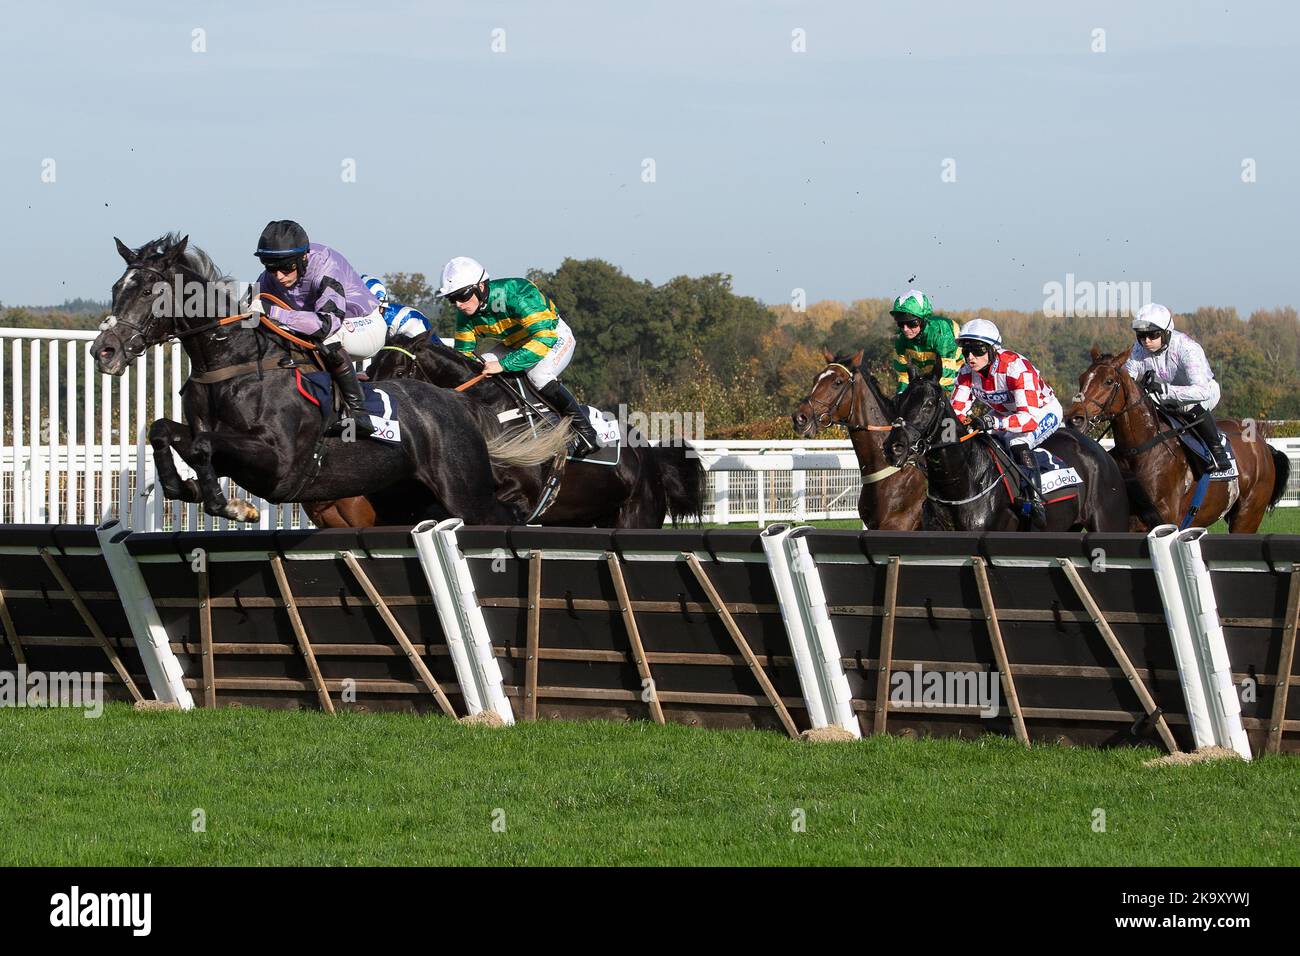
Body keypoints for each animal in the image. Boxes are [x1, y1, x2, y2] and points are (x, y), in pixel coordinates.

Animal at [86, 236, 564, 528]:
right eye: (115, 287)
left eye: (148, 291)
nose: (103, 351)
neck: (231, 365)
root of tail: (458, 403)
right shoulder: (226, 448)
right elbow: (164, 431)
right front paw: (181, 486)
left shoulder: (279, 463)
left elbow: (204, 447)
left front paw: (234, 506)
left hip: (465, 491)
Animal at [306, 332, 702, 530]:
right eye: (371, 369)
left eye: (401, 372)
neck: (489, 412)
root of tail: (649, 457)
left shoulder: (522, 496)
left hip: (637, 517)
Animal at [883, 361, 1128, 535]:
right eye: (898, 399)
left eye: (929, 404)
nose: (894, 447)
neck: (960, 484)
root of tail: (1102, 453)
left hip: (1107, 523)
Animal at [1066, 348, 1289, 535]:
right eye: (1082, 378)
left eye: (1109, 381)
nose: (1075, 419)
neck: (1140, 450)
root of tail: (1263, 447)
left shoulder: (1165, 518)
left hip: (1247, 515)